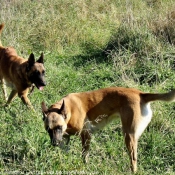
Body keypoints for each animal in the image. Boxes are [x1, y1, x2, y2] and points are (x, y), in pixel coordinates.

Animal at [41, 86, 175, 172]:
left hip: (129, 137)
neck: (69, 110)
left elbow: (84, 155)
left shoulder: (86, 135)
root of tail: (140, 94)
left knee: (133, 160)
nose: (54, 143)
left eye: (59, 127)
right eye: (48, 129)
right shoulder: (64, 139)